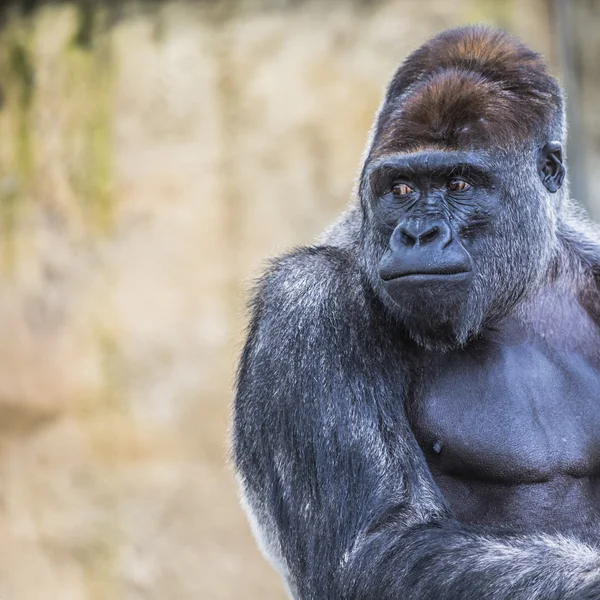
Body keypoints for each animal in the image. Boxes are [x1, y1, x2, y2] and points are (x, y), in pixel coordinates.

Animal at [231, 25, 600, 596]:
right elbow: (381, 544)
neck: (516, 294)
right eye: (401, 188)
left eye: (458, 184)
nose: (418, 234)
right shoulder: (307, 302)